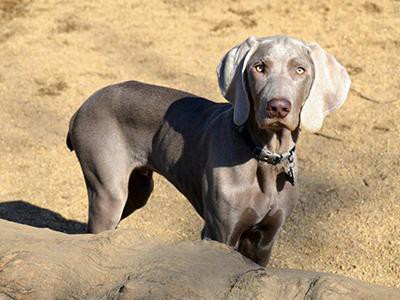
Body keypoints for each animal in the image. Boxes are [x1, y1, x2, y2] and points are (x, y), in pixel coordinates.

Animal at [68, 36, 350, 266]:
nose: (278, 107)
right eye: (259, 67)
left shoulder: (264, 240)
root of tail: (82, 107)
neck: (265, 156)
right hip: (108, 191)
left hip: (138, 190)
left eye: (300, 70)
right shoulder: (219, 232)